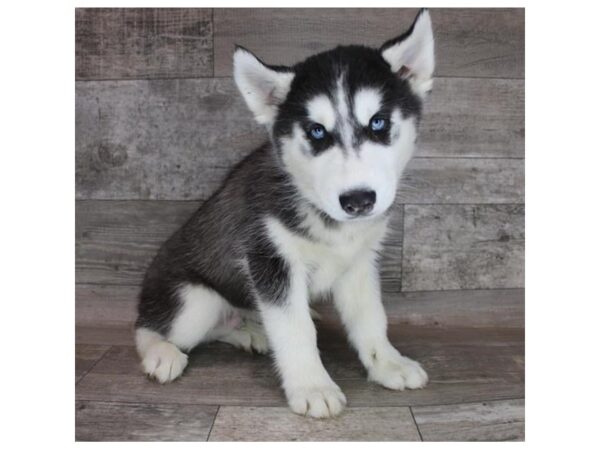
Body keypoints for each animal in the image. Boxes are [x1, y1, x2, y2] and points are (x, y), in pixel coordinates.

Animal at [135, 9, 436, 418]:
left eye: (377, 122)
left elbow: (371, 317)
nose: (358, 200)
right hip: (193, 300)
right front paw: (312, 386)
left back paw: (251, 331)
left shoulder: (359, 263)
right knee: (152, 327)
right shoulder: (271, 261)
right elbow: (295, 329)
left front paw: (387, 363)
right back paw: (161, 353)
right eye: (317, 131)